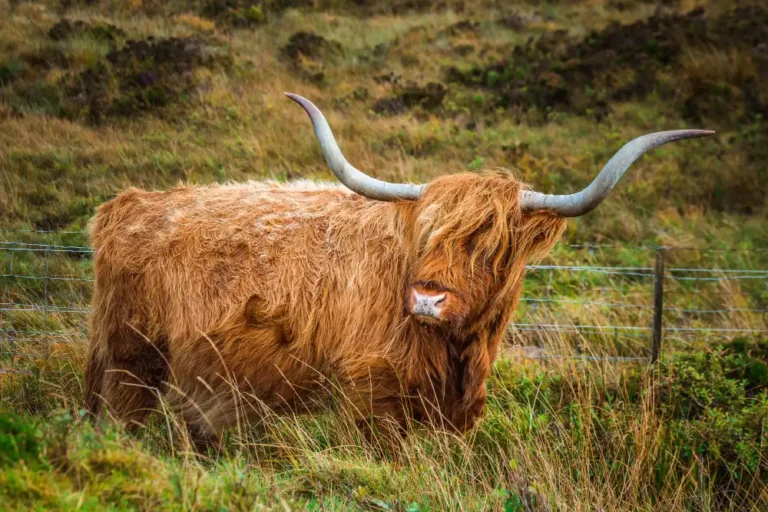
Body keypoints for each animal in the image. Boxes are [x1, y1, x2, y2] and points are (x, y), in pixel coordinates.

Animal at [84, 94, 712, 450]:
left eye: (490, 246)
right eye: (427, 235)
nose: (427, 299)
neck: (455, 353)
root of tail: (128, 204)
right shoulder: (372, 399)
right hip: (131, 361)